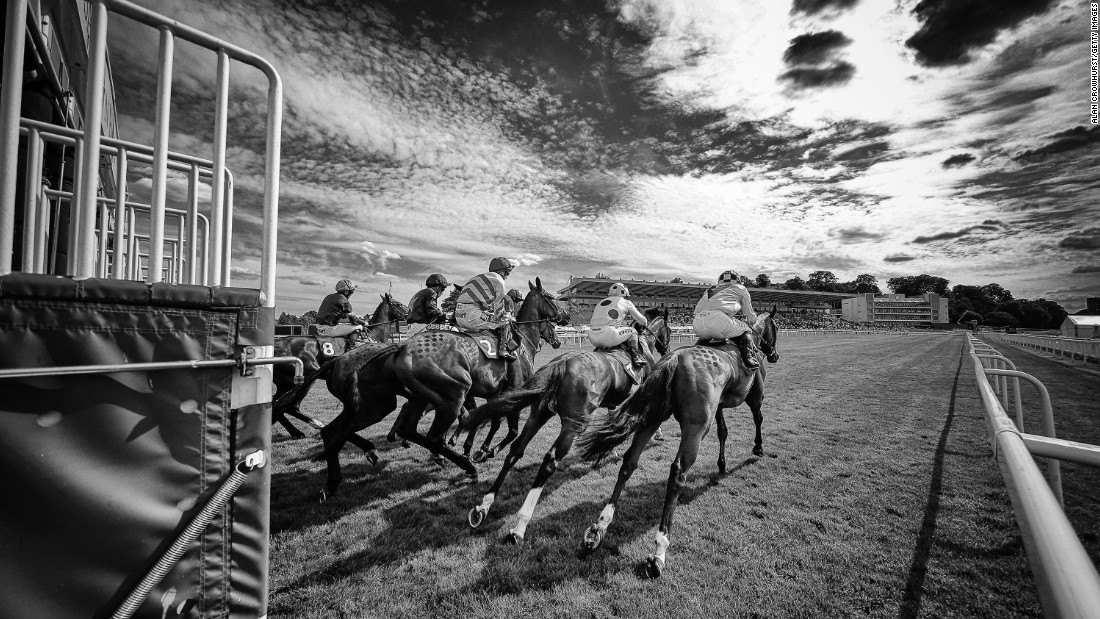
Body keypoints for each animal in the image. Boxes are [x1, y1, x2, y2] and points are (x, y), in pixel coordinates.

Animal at [312, 278, 567, 501]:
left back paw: (337, 476)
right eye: (551, 297)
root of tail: (401, 348)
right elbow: (508, 429)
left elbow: (486, 421)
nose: (564, 318)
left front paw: (475, 447)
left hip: (389, 403)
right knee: (432, 435)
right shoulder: (512, 392)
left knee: (392, 429)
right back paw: (464, 466)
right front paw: (483, 450)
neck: (521, 341)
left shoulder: (496, 395)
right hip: (450, 396)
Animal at [462, 316, 664, 545]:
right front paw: (656, 434)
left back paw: (484, 506)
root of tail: (561, 363)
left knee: (516, 450)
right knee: (549, 461)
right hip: (573, 424)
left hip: (538, 414)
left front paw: (610, 451)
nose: (665, 347)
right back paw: (520, 526)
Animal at [576, 307, 783, 580]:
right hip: (695, 427)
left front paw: (722, 464)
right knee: (677, 472)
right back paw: (659, 551)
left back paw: (598, 530)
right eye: (775, 329)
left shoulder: (718, 406)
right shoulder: (755, 393)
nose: (774, 355)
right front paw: (757, 447)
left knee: (629, 461)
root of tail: (673, 360)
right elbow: (758, 418)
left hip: (652, 416)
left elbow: (723, 432)